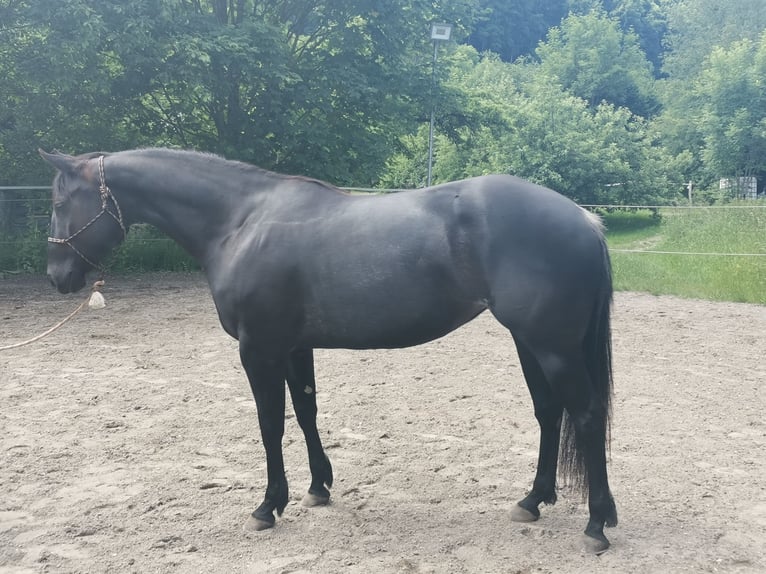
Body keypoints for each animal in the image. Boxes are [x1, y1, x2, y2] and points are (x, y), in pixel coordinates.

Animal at [40, 151, 616, 556]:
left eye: (60, 202)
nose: (57, 276)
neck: (240, 222)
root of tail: (583, 219)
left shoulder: (258, 350)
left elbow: (270, 423)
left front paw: (268, 506)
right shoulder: (294, 346)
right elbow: (306, 410)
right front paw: (318, 487)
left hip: (552, 346)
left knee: (586, 415)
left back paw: (596, 524)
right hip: (530, 343)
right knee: (549, 413)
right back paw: (533, 502)